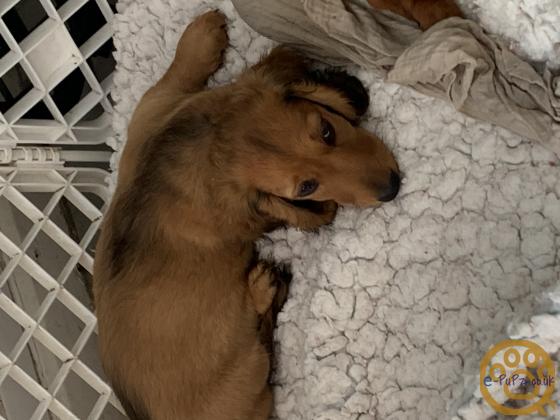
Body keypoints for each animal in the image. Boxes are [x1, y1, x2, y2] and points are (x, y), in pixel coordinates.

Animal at [94, 9, 400, 420]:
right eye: (306, 187)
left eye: (327, 131)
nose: (392, 187)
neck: (203, 157)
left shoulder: (153, 115)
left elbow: (172, 78)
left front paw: (201, 34)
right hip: (249, 372)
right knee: (264, 347)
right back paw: (264, 284)